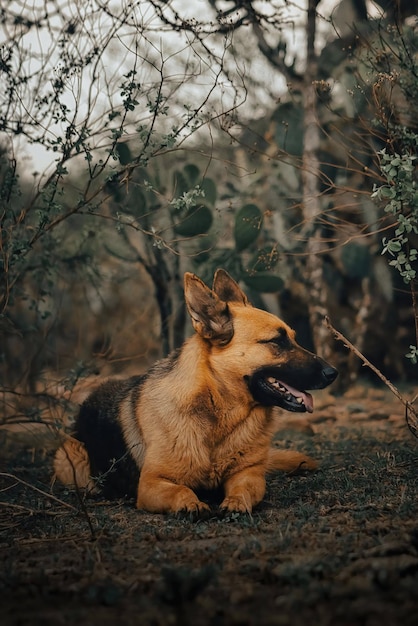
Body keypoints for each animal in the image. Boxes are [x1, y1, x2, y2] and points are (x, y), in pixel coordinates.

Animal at [54, 268, 338, 512]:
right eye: (277, 341)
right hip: (71, 462)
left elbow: (245, 489)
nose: (332, 372)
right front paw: (192, 504)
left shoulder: (248, 474)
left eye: (293, 338)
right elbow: (181, 490)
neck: (219, 419)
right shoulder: (150, 484)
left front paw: (235, 502)